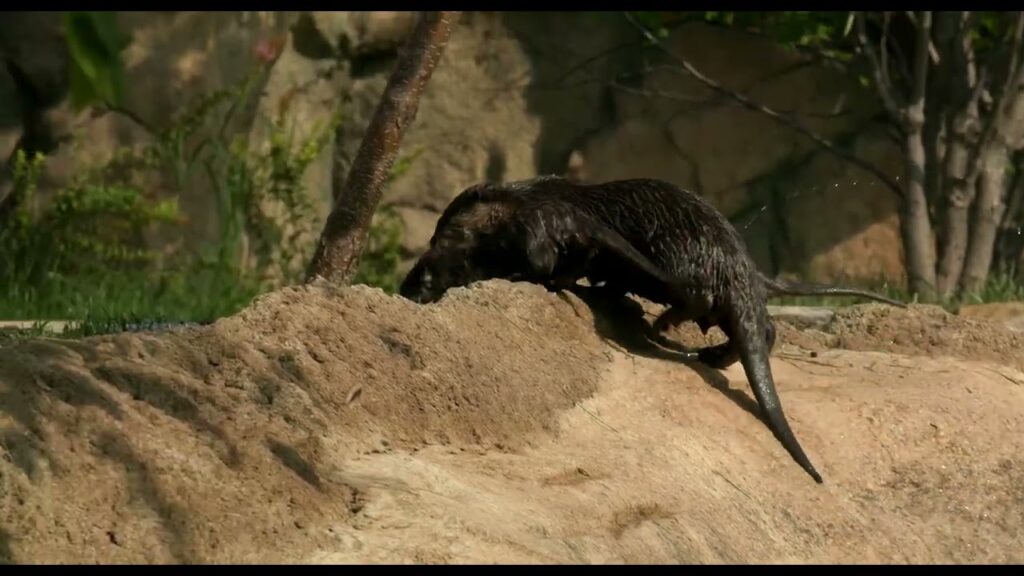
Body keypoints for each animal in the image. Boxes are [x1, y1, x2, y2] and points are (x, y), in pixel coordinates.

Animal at [400, 175, 905, 484]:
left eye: (446, 226)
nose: (412, 284)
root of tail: (739, 267)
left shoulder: (530, 229)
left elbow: (539, 263)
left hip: (674, 259)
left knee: (686, 298)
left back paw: (660, 325)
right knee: (765, 331)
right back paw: (703, 350)